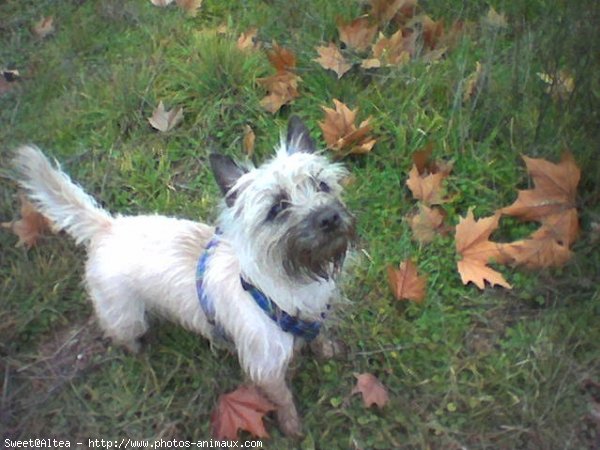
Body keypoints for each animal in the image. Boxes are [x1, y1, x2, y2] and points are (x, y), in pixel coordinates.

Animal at [11, 116, 356, 436]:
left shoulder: (315, 317)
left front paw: (328, 351)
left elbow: (319, 337)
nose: (328, 217)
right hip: (126, 316)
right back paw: (138, 349)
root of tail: (107, 226)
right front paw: (292, 426)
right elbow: (283, 398)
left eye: (322, 185)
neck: (288, 280)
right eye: (276, 208)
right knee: (121, 333)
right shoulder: (265, 368)